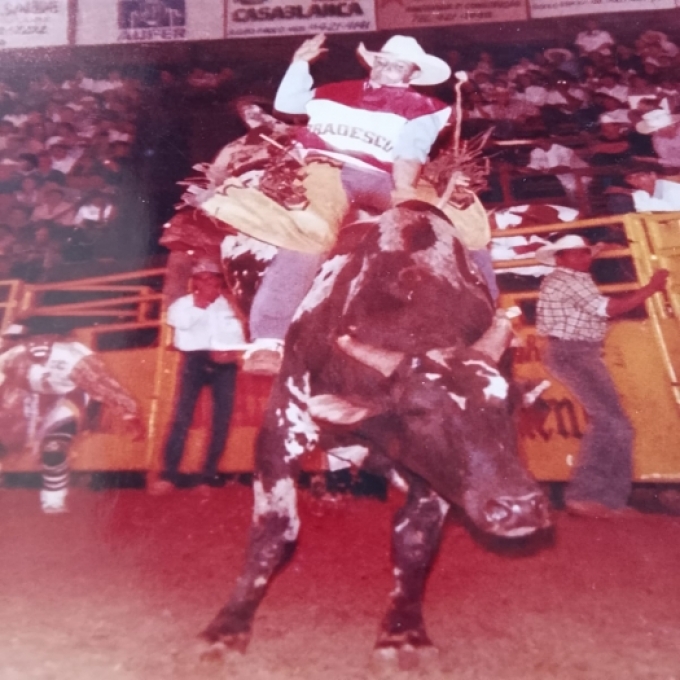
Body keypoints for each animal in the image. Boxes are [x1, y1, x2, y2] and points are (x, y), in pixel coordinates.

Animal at [189, 199, 548, 668]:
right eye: (417, 412)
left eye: (507, 405)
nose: (519, 507)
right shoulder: (282, 428)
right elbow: (275, 529)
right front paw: (226, 629)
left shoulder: (434, 471)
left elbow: (414, 538)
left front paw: (402, 635)